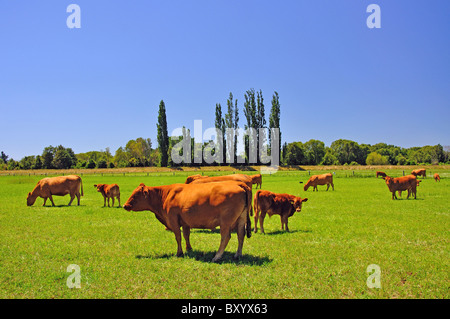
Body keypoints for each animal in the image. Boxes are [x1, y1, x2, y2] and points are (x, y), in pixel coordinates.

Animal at [123, 182, 253, 262]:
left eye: (136, 195)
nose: (125, 205)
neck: (165, 195)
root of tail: (238, 184)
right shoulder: (185, 222)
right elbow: (186, 235)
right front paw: (189, 249)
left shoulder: (173, 220)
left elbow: (178, 237)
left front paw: (179, 252)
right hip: (241, 219)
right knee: (241, 235)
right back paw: (238, 254)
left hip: (226, 222)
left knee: (226, 237)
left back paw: (217, 256)